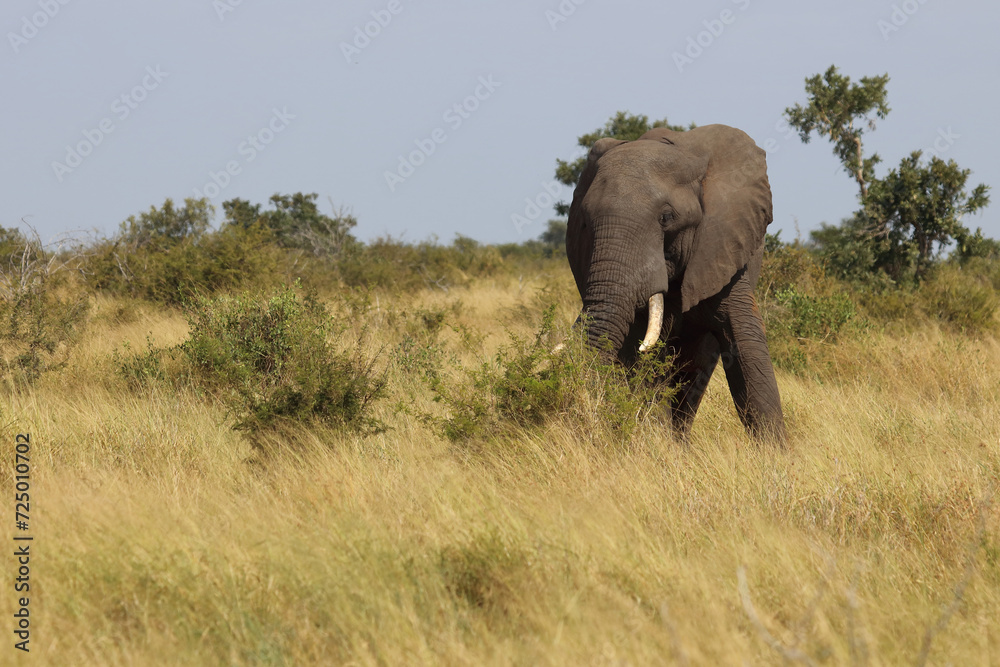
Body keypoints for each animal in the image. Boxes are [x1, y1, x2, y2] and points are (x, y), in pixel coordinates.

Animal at [568, 124, 784, 444]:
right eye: (584, 222)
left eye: (666, 218)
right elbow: (643, 355)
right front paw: (655, 442)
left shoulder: (721, 248)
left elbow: (745, 340)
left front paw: (776, 452)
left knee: (697, 367)